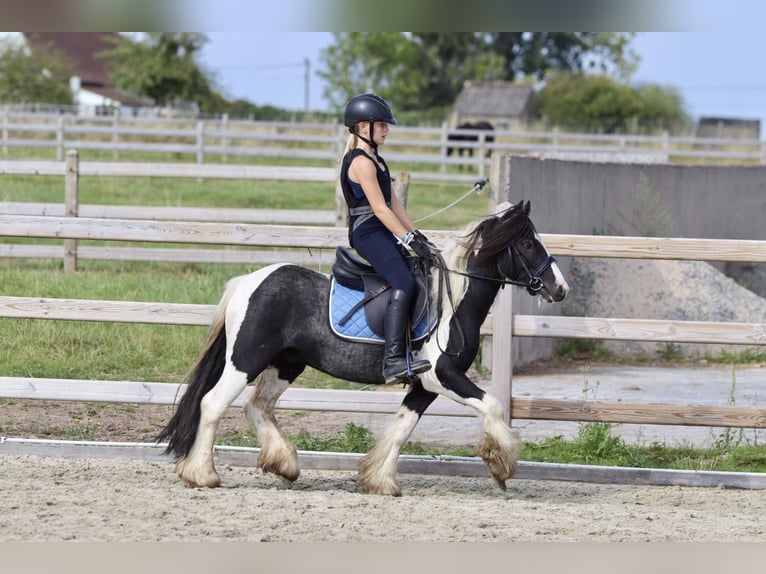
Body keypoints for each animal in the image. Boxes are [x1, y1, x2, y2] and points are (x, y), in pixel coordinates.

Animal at [158, 200, 568, 498]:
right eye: (528, 244)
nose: (559, 288)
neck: (452, 301)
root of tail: (249, 281)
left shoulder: (424, 385)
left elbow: (402, 428)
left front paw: (378, 480)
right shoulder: (444, 376)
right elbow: (493, 405)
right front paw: (501, 465)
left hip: (287, 363)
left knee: (256, 405)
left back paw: (284, 464)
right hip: (246, 359)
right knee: (213, 403)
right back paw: (202, 475)